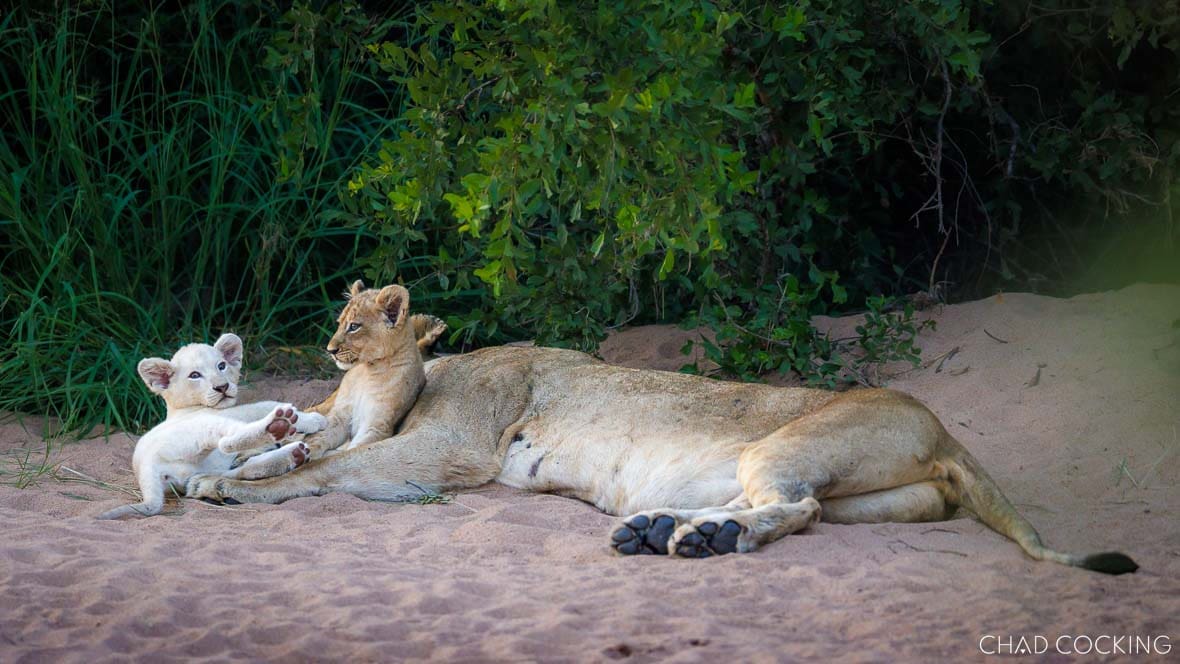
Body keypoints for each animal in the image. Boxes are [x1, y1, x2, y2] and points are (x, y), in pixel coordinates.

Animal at [97, 333, 327, 519]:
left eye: (221, 365)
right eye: (194, 375)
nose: (222, 386)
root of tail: (146, 465)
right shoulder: (236, 411)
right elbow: (266, 404)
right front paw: (313, 419)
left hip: (202, 468)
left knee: (233, 473)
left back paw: (293, 454)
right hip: (202, 429)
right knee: (227, 443)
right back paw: (278, 426)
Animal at [187, 287, 1137, 574]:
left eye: (355, 328)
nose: (326, 348)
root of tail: (944, 433)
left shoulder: (445, 452)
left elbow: (324, 472)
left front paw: (231, 483)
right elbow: (317, 454)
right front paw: (241, 464)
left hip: (788, 442)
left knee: (792, 509)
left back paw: (687, 540)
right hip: (880, 500)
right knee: (800, 511)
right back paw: (668, 530)